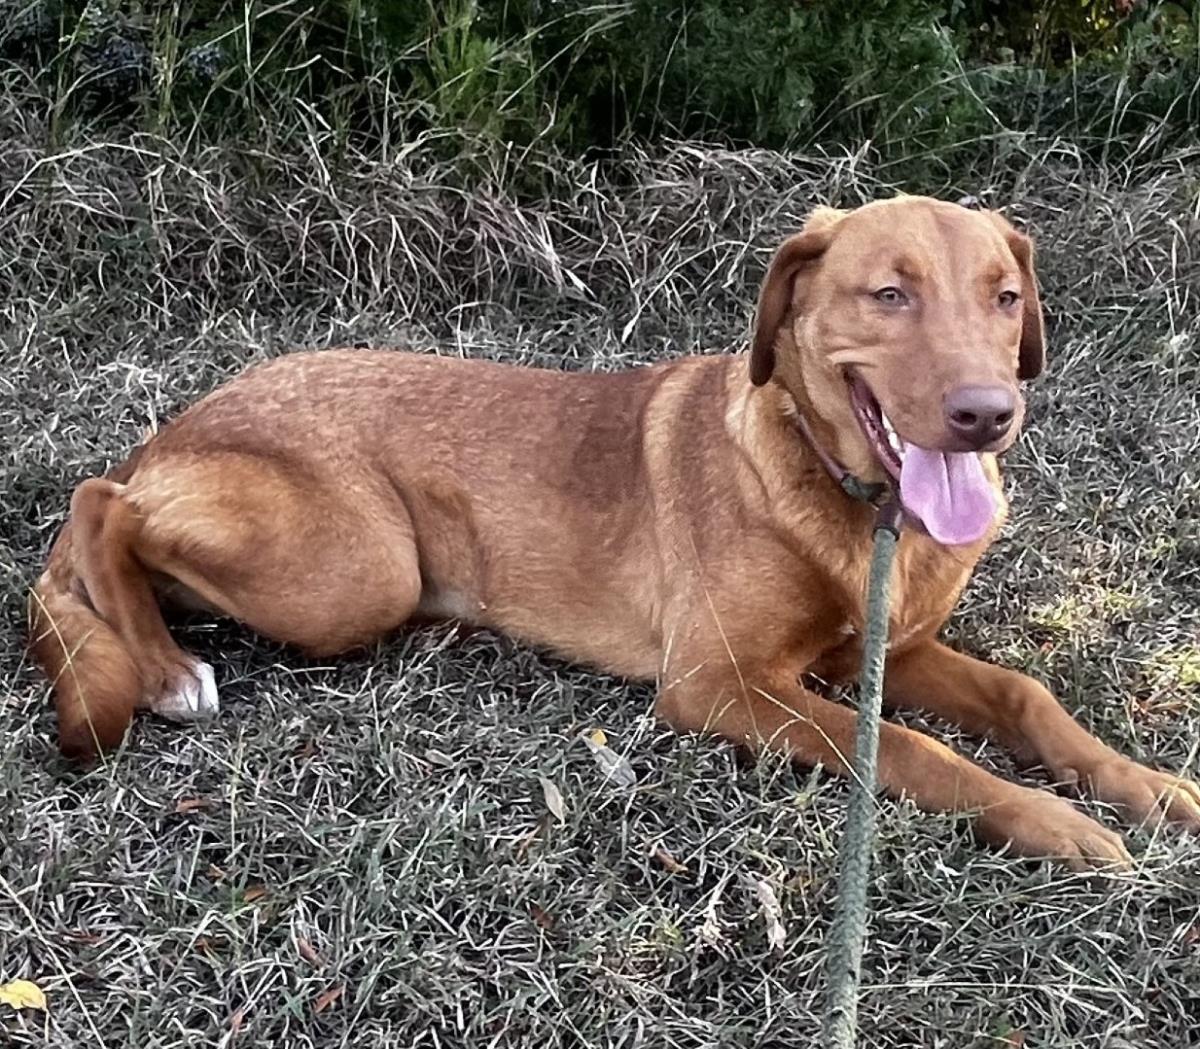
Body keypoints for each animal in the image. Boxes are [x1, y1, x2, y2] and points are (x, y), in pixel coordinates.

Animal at [30, 194, 1200, 868]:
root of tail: (175, 428)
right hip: (353, 568)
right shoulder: (720, 684)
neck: (853, 506)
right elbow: (914, 749)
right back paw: (166, 664)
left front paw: (1141, 785)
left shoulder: (882, 651)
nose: (987, 415)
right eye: (889, 294)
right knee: (97, 505)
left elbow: (1025, 693)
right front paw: (1052, 822)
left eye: (1006, 297)